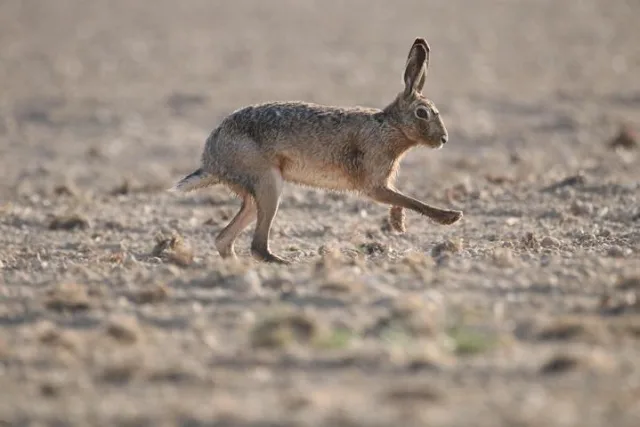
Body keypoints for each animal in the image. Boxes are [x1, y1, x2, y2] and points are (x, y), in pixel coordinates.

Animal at [170, 37, 463, 264]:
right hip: (267, 182)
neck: (390, 126)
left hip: (256, 194)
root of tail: (210, 158)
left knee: (225, 238)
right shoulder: (374, 184)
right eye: (422, 113)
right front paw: (450, 217)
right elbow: (409, 200)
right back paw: (282, 264)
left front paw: (398, 224)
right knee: (257, 246)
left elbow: (400, 200)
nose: (444, 139)